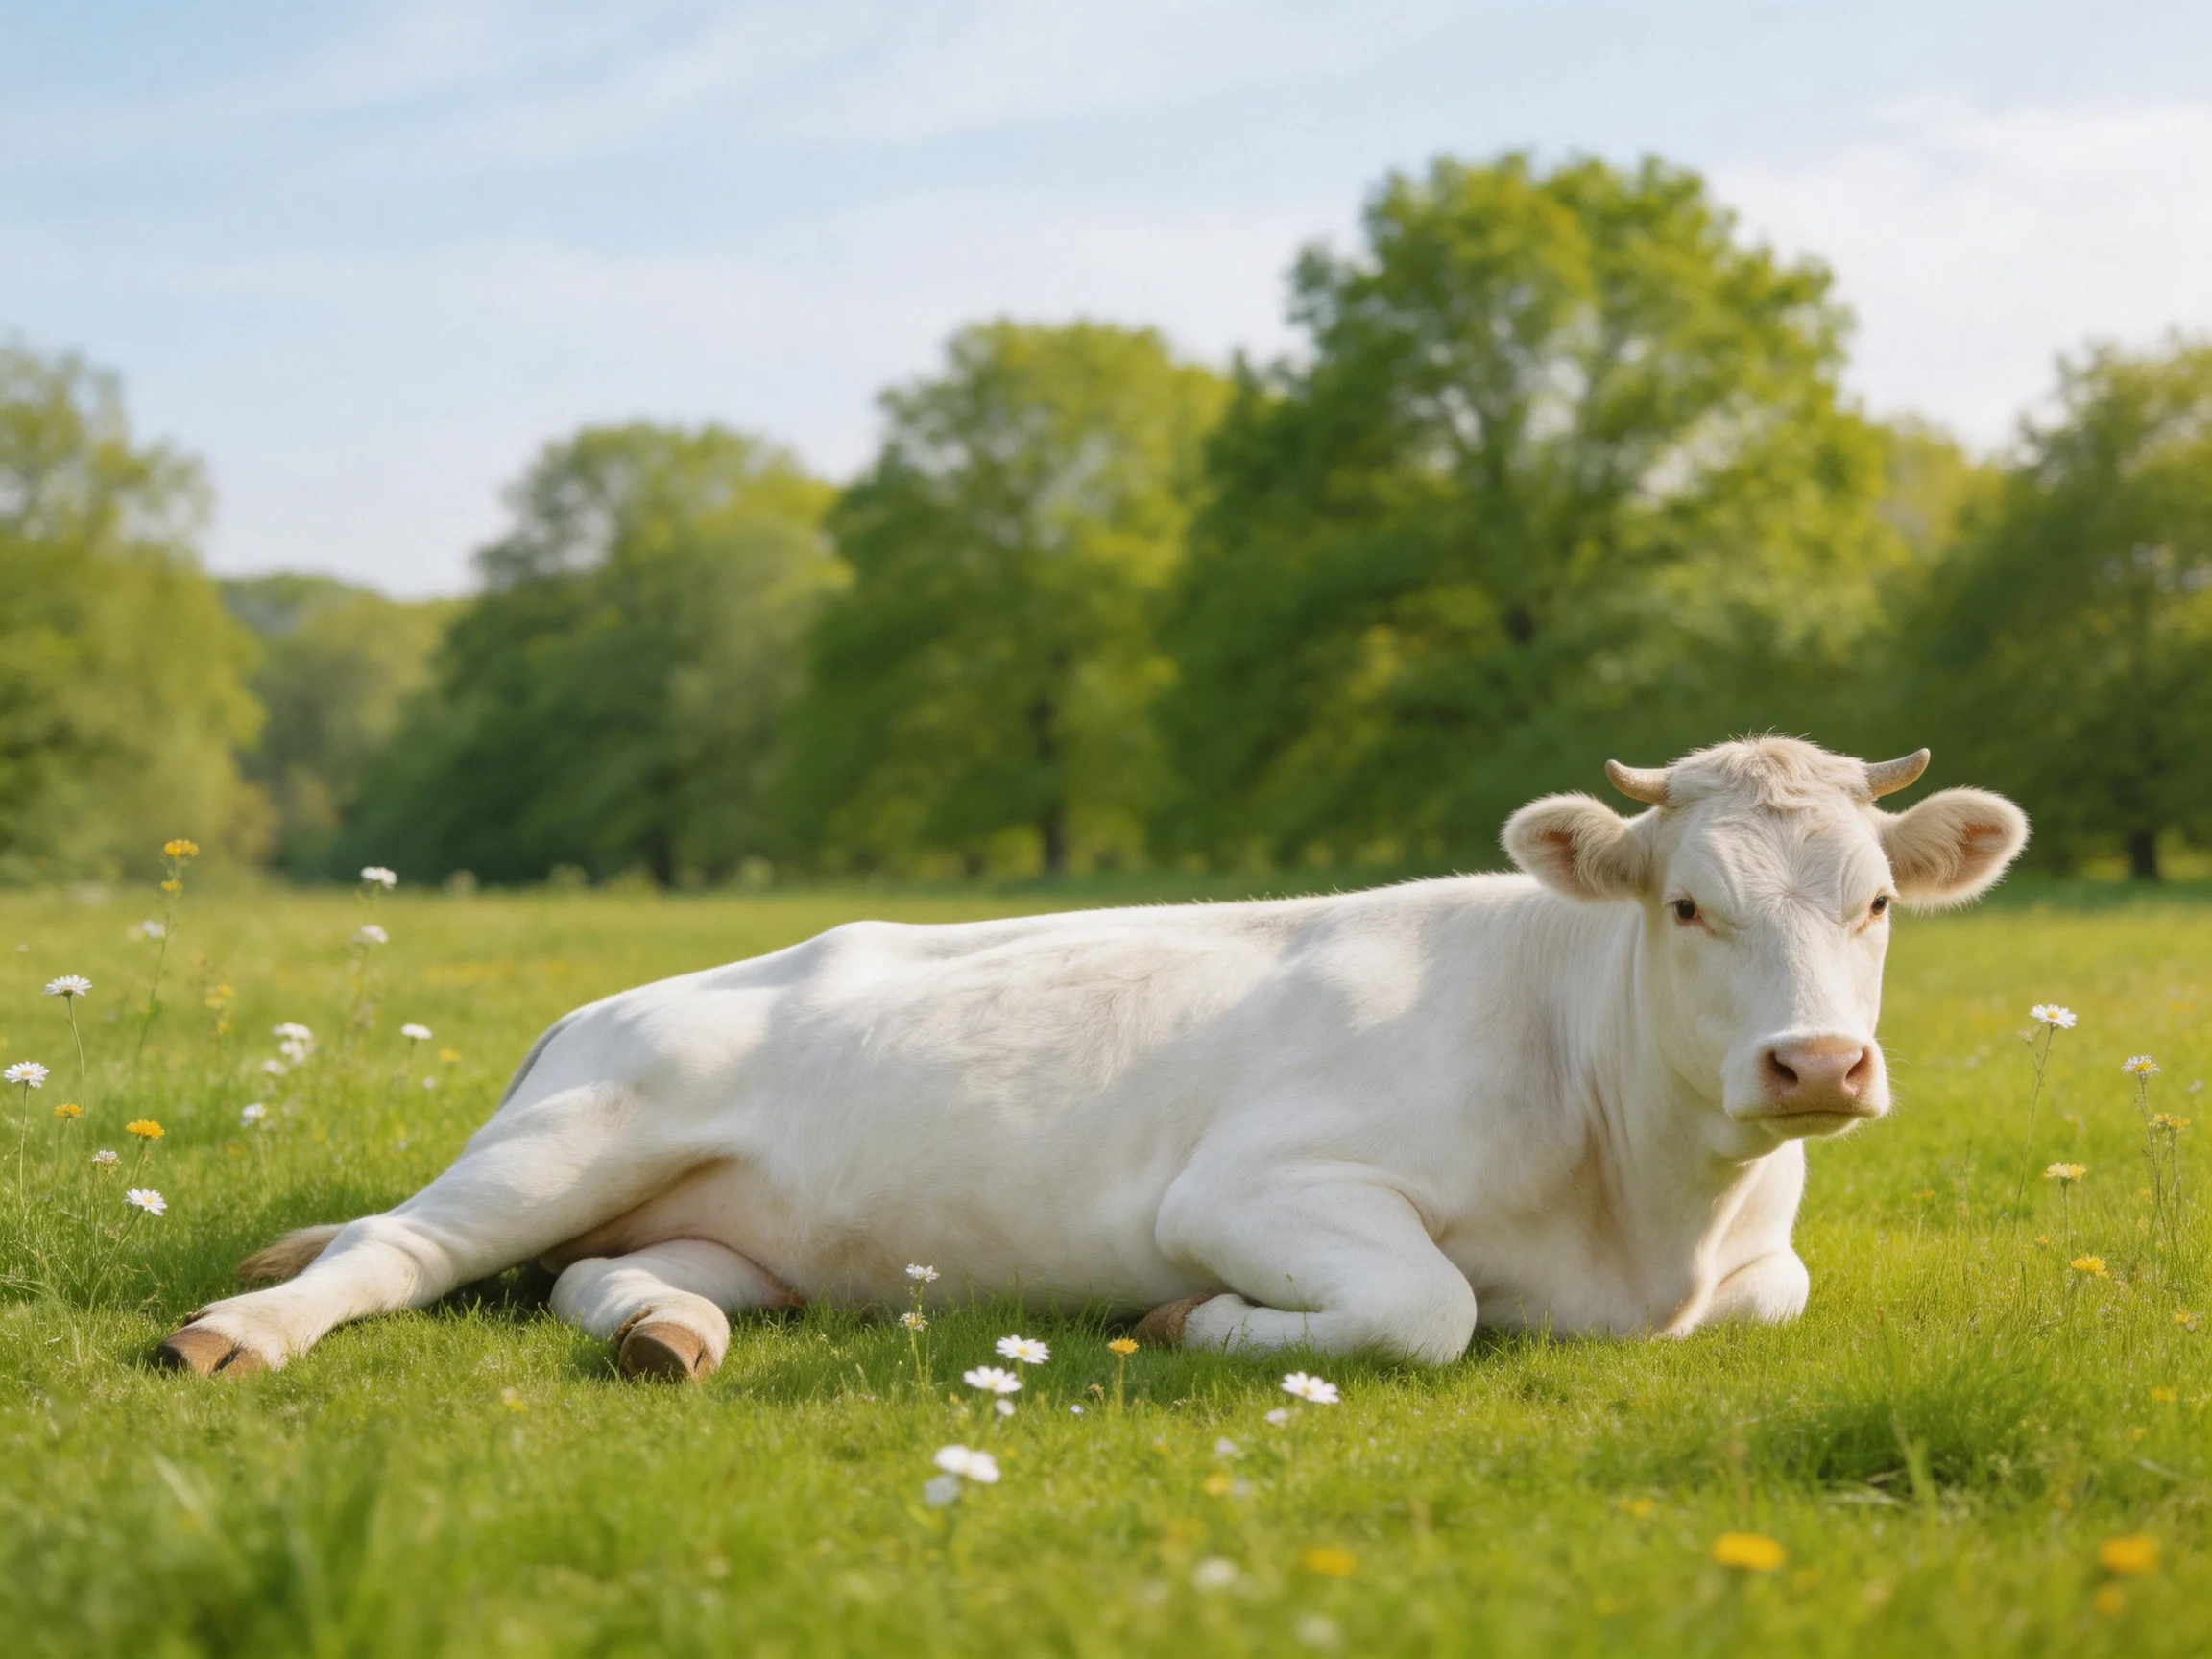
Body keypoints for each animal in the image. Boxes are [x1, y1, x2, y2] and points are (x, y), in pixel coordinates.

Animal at [156, 738, 2027, 1381]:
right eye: (1690, 904)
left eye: (1873, 900)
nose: (1815, 1066)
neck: (1653, 1226)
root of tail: (602, 1004)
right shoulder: (1249, 1183)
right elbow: (1424, 1308)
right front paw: (1190, 1324)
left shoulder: (1761, 1272)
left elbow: (1776, 1297)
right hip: (573, 1134)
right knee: (392, 1249)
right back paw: (238, 1334)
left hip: (717, 1223)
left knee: (598, 1280)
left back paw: (669, 1337)